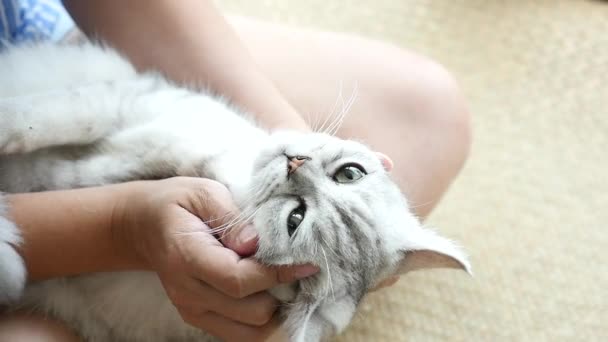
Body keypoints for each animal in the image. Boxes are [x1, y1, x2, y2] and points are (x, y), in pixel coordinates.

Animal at [0, 42, 470, 342]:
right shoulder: (133, 99)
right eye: (350, 173)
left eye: (295, 219)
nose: (294, 162)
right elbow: (55, 117)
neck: (222, 169)